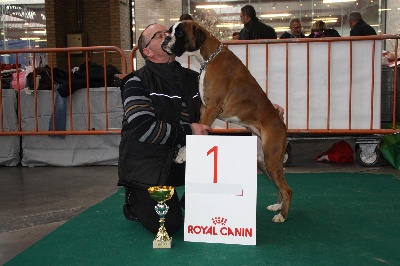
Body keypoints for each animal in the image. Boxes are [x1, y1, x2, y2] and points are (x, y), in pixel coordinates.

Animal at [161, 20, 292, 222]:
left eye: (179, 33)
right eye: (169, 31)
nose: (166, 39)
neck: (209, 57)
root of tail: (281, 122)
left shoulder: (212, 108)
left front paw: (184, 154)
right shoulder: (204, 108)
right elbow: (197, 128)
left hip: (272, 159)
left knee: (287, 189)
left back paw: (282, 216)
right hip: (264, 162)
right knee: (281, 185)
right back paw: (277, 206)